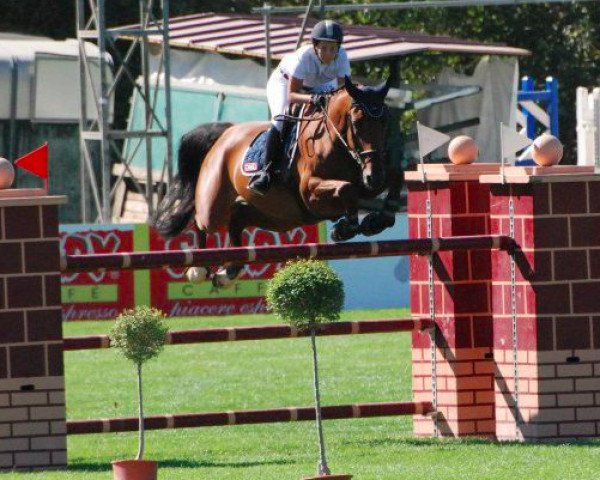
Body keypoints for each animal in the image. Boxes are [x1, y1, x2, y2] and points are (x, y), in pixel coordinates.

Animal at [154, 75, 404, 284]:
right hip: (215, 204)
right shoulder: (310, 193)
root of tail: (225, 133)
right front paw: (345, 228)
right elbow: (346, 189)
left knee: (238, 218)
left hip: (280, 217)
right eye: (357, 122)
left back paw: (229, 271)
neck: (337, 143)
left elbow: (394, 176)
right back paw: (199, 269)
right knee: (201, 219)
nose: (374, 176)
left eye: (385, 121)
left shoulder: (366, 182)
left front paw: (378, 220)